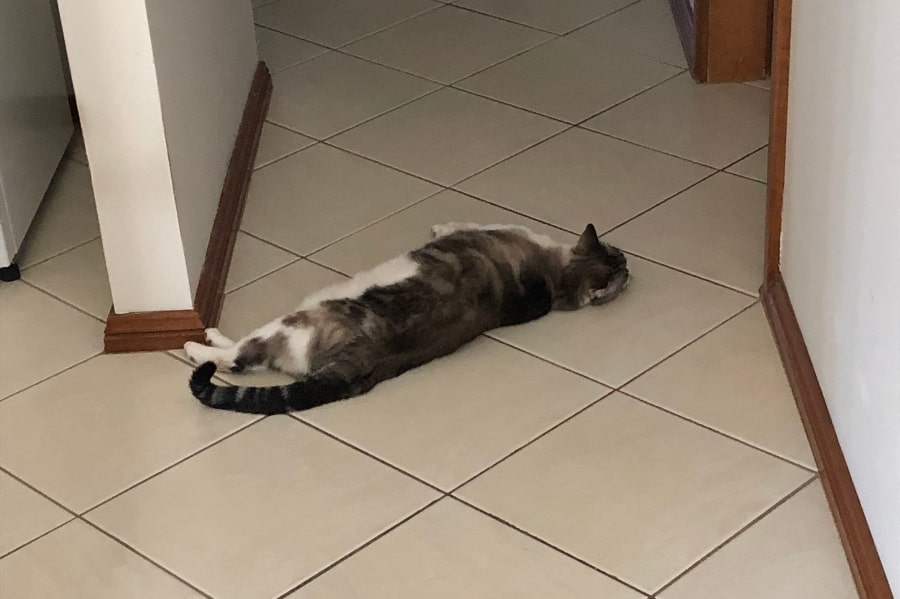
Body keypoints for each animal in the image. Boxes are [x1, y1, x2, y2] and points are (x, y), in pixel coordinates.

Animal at [186, 223, 628, 414]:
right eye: (619, 255)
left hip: (293, 322)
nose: (629, 264)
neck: (555, 284)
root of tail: (359, 362)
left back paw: (201, 342)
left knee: (238, 358)